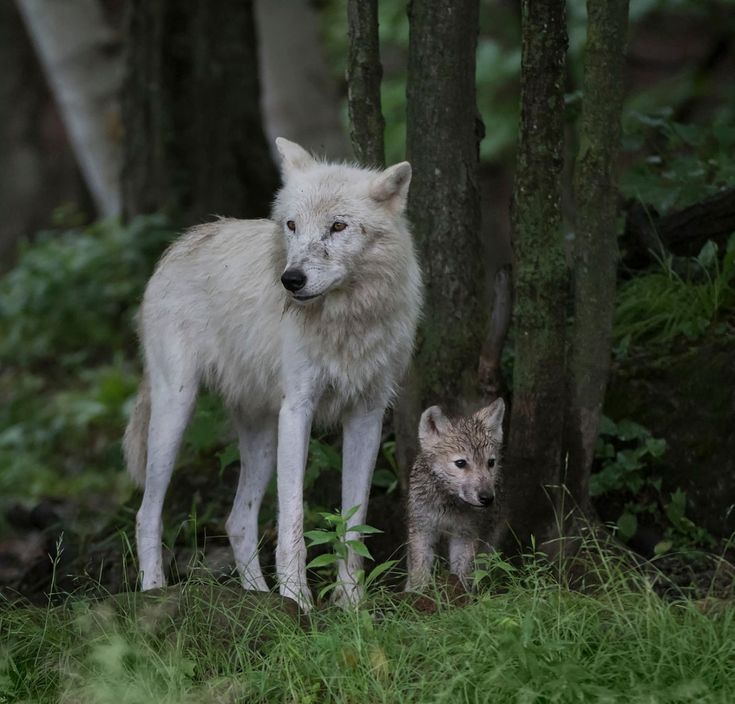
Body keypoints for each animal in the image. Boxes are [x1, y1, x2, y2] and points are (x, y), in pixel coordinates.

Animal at [122, 139, 420, 612]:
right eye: (292, 225)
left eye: (338, 226)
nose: (291, 280)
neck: (345, 320)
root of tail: (178, 246)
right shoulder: (297, 410)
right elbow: (293, 519)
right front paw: (299, 601)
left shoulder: (368, 415)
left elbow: (353, 521)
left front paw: (350, 603)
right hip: (176, 410)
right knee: (146, 515)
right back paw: (156, 594)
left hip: (260, 435)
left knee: (237, 520)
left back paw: (258, 599)